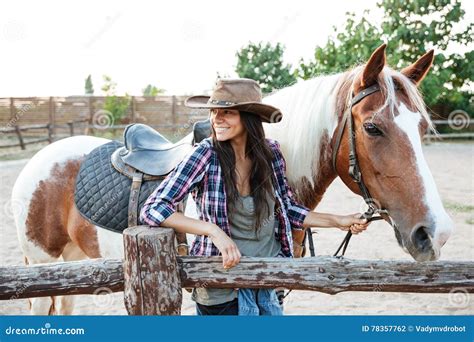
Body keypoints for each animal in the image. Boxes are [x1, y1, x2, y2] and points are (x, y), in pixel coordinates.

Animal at [10, 44, 452, 314]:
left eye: (423, 127)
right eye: (373, 128)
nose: (435, 232)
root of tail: (40, 160)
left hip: (70, 260)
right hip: (43, 262)